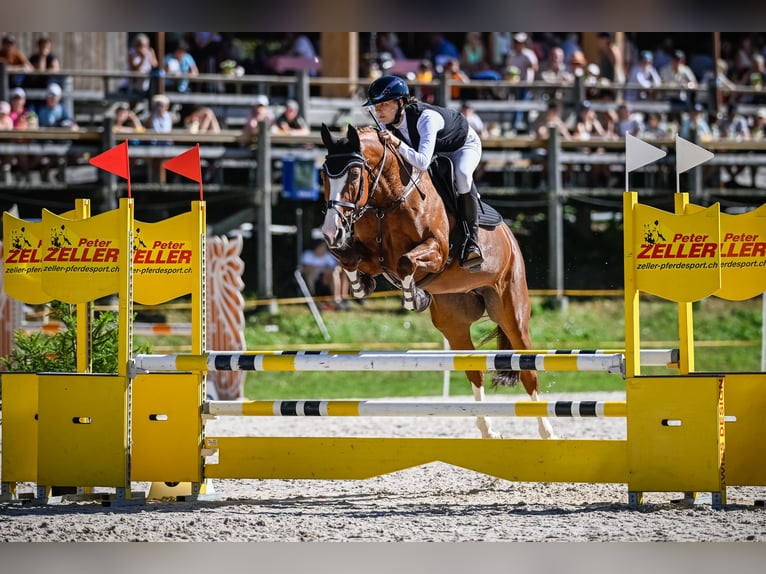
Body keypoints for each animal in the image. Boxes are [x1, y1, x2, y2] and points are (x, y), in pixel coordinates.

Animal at [320, 125, 556, 440]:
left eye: (355, 175)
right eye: (323, 175)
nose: (330, 231)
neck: (386, 202)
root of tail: (510, 236)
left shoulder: (436, 250)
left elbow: (406, 262)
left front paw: (413, 298)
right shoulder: (372, 257)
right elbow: (347, 258)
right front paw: (361, 286)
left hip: (512, 310)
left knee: (528, 369)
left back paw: (547, 432)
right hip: (453, 322)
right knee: (474, 371)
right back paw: (488, 431)